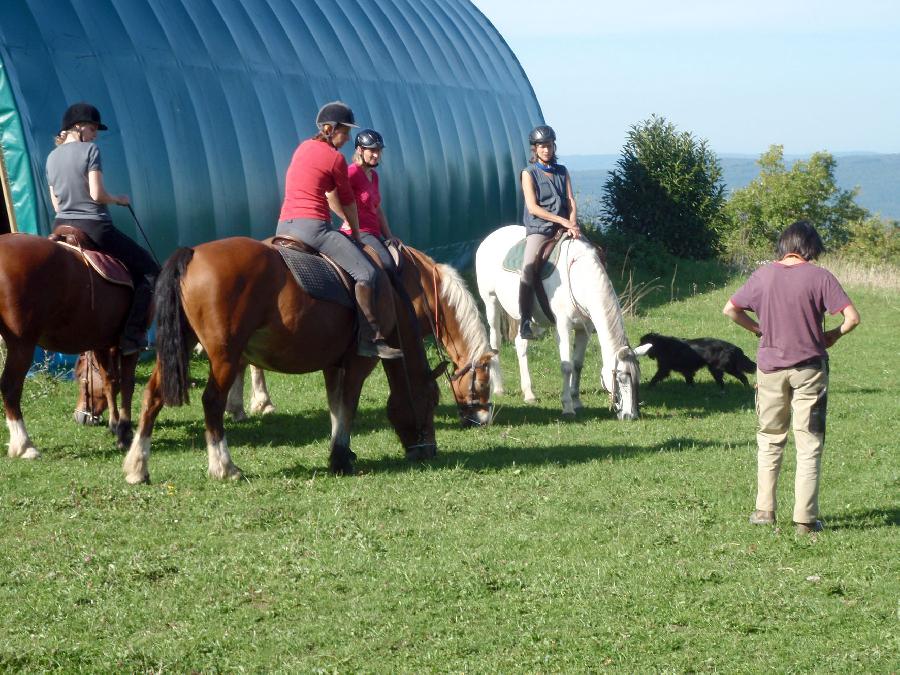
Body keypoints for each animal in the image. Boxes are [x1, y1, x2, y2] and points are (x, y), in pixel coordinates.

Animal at [0, 234, 142, 460]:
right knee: (10, 387)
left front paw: (114, 425)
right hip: (21, 345)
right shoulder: (128, 347)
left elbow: (110, 382)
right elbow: (127, 385)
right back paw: (24, 445)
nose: (79, 417)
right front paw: (124, 433)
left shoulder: (101, 342)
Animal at [119, 238, 442, 486]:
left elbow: (335, 408)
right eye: (431, 401)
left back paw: (138, 467)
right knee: (212, 402)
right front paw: (340, 458)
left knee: (153, 396)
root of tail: (194, 253)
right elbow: (348, 407)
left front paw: (340, 452)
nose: (429, 451)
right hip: (224, 357)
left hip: (181, 347)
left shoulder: (332, 365)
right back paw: (224, 467)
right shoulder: (357, 365)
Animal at [474, 224, 644, 420]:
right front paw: (567, 406)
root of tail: (492, 236)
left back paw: (529, 393)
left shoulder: (584, 329)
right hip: (491, 301)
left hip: (527, 320)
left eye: (638, 378)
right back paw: (499, 388)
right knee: (495, 341)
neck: (581, 278)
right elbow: (567, 366)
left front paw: (576, 400)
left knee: (520, 344)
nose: (631, 415)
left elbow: (577, 365)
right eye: (621, 378)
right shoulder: (563, 326)